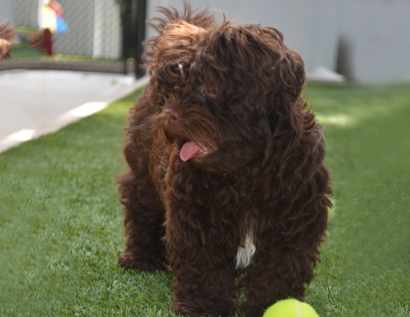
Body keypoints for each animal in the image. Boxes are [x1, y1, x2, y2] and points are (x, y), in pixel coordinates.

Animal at [117, 3, 332, 316]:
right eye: (177, 89)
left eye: (208, 87)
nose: (169, 114)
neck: (247, 169)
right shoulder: (196, 214)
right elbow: (204, 265)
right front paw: (205, 307)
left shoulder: (296, 214)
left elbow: (280, 266)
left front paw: (270, 303)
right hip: (142, 172)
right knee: (141, 210)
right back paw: (140, 258)